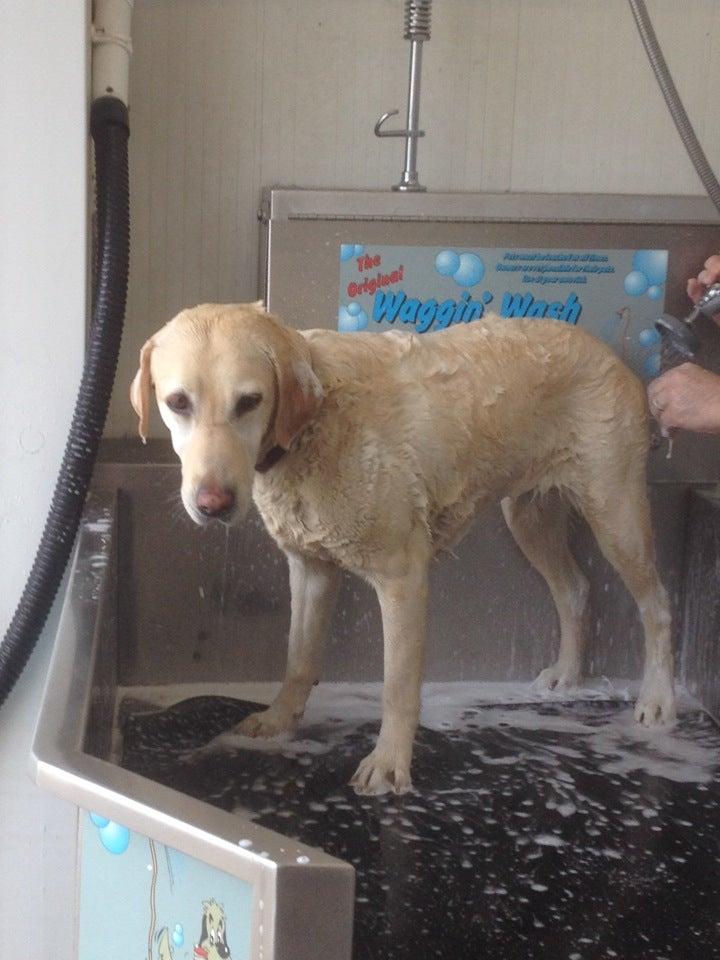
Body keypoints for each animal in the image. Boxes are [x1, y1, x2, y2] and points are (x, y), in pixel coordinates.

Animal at [132, 304, 676, 792]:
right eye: (178, 403)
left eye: (249, 401)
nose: (213, 504)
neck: (314, 424)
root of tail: (607, 349)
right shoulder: (311, 570)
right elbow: (298, 659)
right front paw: (278, 720)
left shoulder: (402, 579)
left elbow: (396, 686)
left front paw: (389, 764)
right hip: (528, 515)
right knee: (575, 589)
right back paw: (566, 673)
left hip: (615, 514)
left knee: (656, 604)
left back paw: (657, 699)